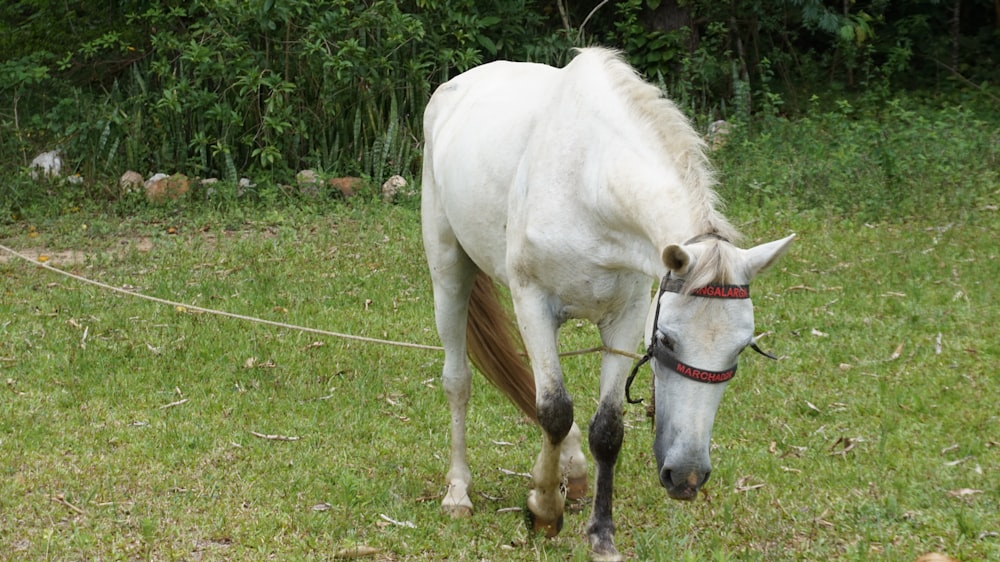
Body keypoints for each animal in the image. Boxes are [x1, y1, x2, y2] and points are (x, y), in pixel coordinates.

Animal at [420, 49, 788, 560]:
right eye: (667, 341)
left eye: (741, 348)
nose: (686, 476)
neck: (588, 181)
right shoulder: (532, 303)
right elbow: (554, 410)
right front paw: (543, 510)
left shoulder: (626, 318)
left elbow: (607, 429)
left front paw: (601, 534)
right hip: (449, 269)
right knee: (459, 380)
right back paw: (459, 492)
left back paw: (571, 475)